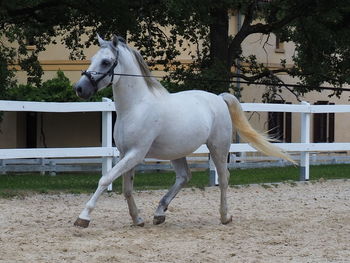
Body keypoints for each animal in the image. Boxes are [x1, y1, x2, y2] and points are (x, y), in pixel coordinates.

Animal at [74, 35, 296, 229]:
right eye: (92, 59)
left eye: (105, 62)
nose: (80, 88)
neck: (136, 107)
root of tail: (218, 98)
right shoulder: (124, 153)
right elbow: (126, 188)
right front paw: (137, 219)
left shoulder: (136, 153)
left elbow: (105, 179)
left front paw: (83, 217)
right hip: (176, 152)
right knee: (184, 177)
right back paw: (159, 213)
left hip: (218, 147)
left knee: (223, 178)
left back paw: (225, 216)